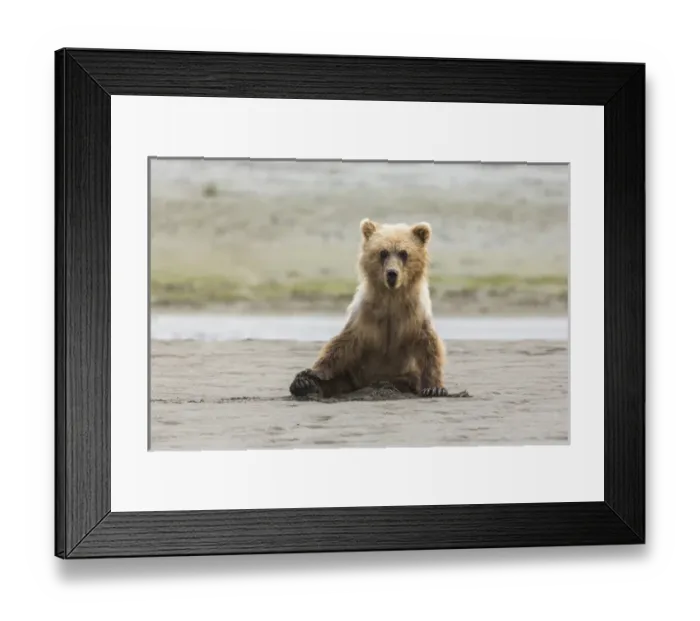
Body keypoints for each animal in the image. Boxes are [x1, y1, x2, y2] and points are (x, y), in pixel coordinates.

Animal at [289, 218, 448, 399]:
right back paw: (303, 384)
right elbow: (342, 344)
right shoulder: (365, 314)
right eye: (383, 252)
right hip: (352, 375)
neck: (391, 297)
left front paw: (435, 388)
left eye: (403, 253)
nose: (392, 273)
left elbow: (429, 346)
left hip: (405, 376)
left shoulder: (415, 314)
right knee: (336, 379)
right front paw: (313, 372)